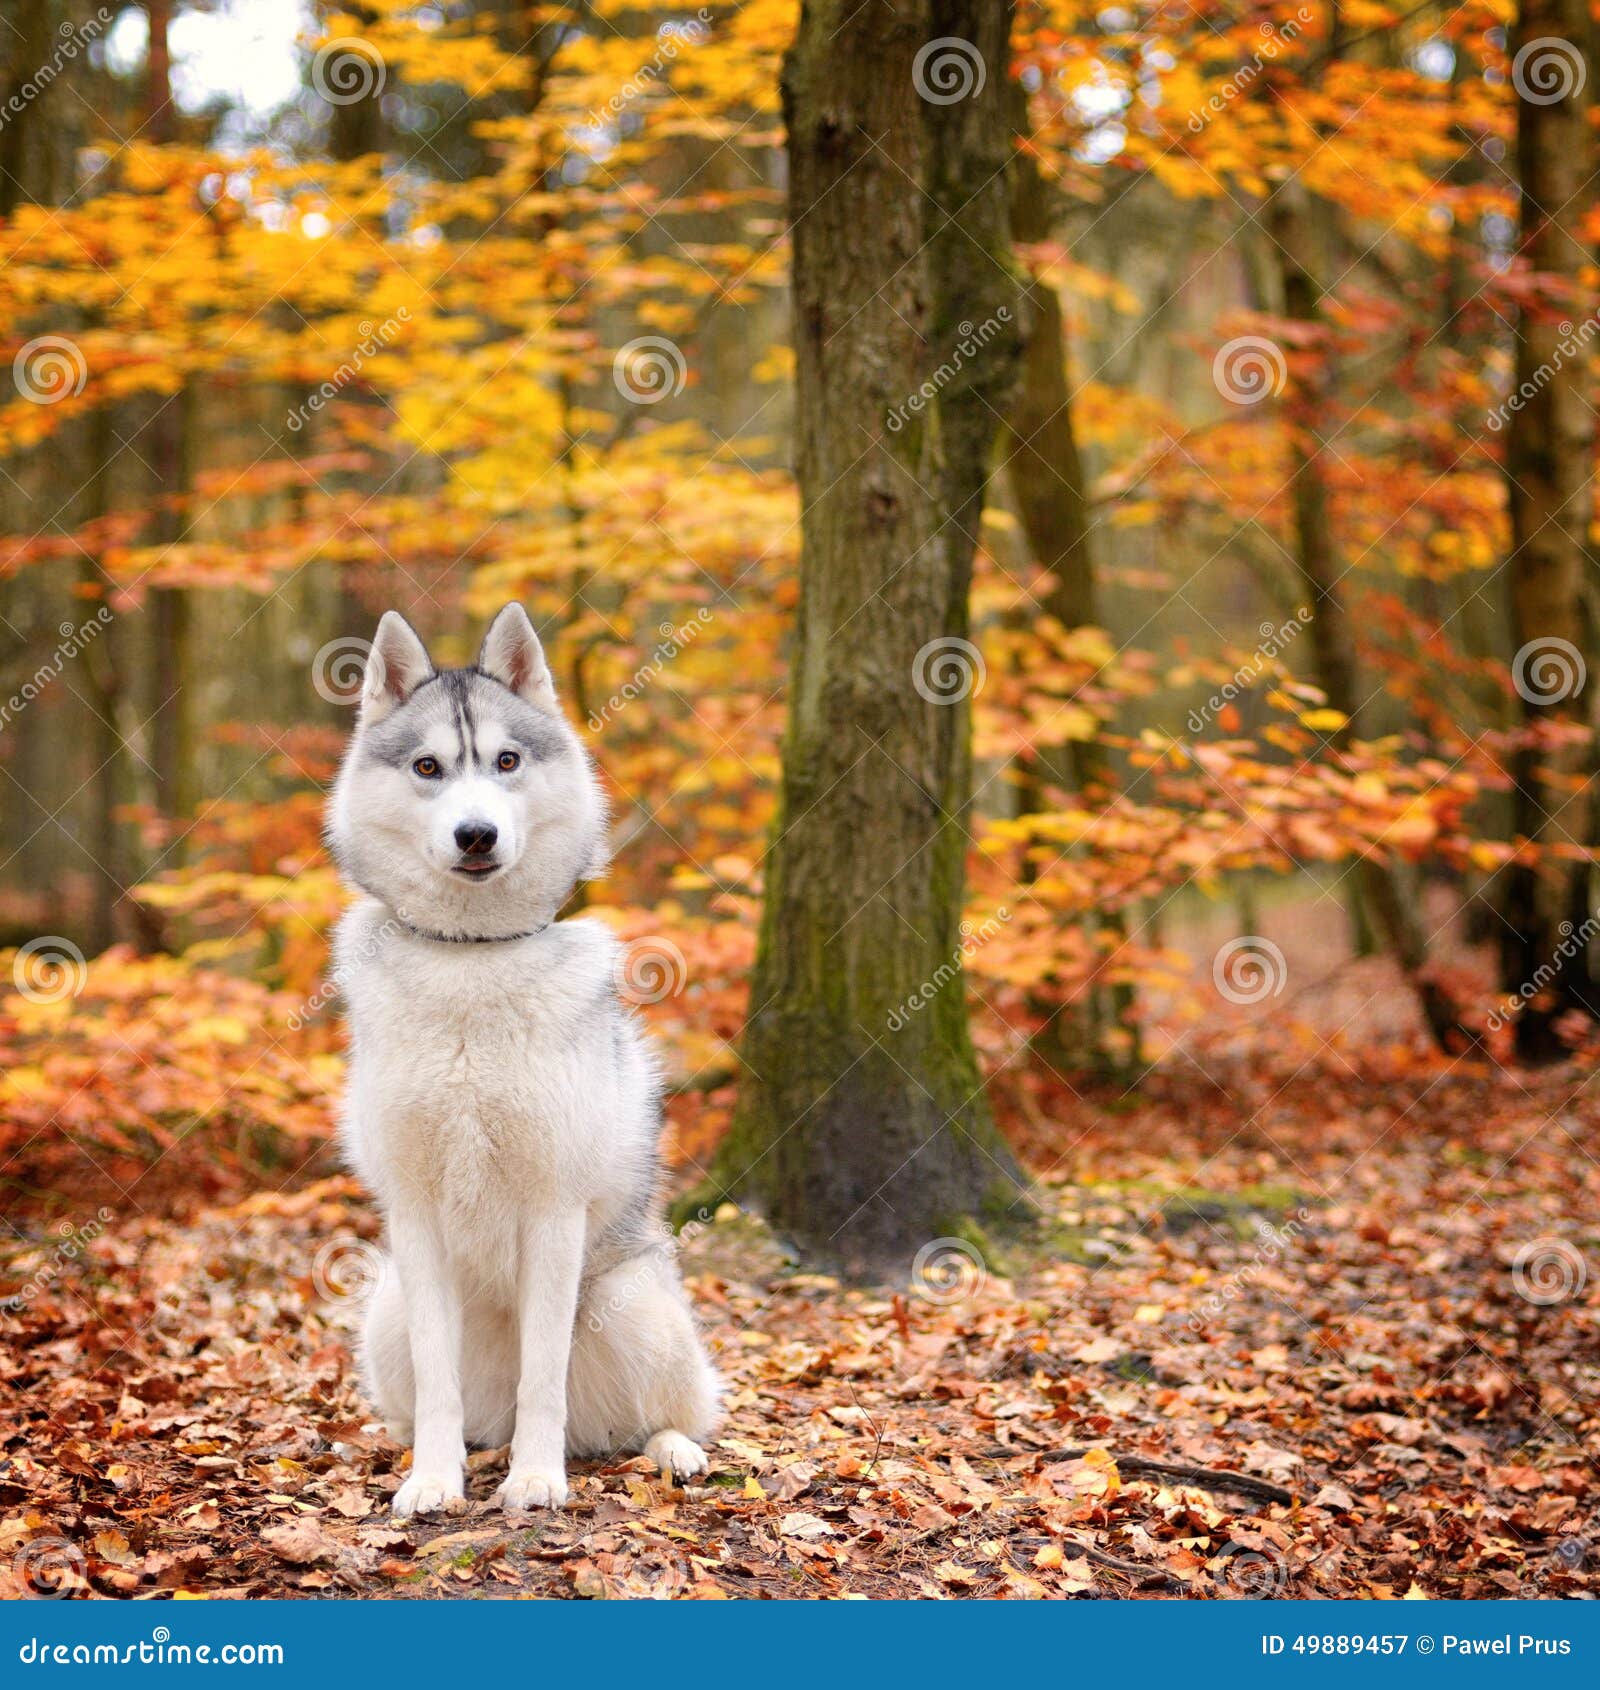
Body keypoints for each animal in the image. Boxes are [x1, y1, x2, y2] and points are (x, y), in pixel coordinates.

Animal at [326, 605, 719, 1521]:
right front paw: (433, 1483)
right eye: (428, 767)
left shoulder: (552, 1212)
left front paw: (537, 1480)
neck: (471, 961)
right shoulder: (416, 1217)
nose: (477, 833)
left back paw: (668, 1451)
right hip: (386, 1308)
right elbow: (439, 1386)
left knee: (661, 1416)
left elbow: (545, 1376)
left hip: (631, 1302)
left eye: (507, 761)